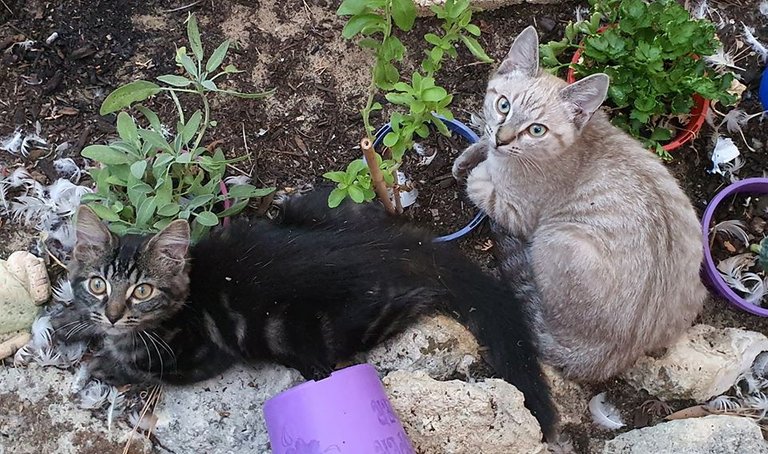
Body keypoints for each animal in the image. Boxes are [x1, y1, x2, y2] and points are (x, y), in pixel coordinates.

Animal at [55, 187, 560, 436]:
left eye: (142, 291)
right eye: (98, 284)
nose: (113, 314)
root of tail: (396, 245)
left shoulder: (201, 355)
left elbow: (146, 368)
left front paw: (103, 364)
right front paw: (69, 322)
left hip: (328, 328)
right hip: (322, 209)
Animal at [456, 26, 708, 384]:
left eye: (536, 130)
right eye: (503, 105)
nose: (503, 139)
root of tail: (613, 355)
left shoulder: (519, 213)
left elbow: (480, 184)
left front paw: (478, 168)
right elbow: (482, 147)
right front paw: (472, 153)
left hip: (555, 238)